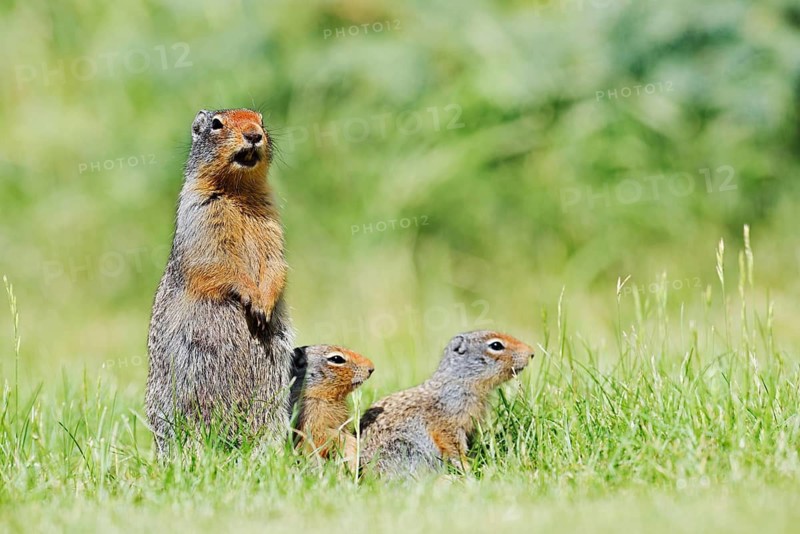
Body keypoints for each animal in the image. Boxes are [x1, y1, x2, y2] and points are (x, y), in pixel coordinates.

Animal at [146, 108, 294, 455]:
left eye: (261, 119)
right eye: (216, 124)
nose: (254, 134)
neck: (238, 191)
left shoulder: (272, 222)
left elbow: (276, 263)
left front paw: (265, 305)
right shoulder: (200, 216)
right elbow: (219, 263)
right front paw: (252, 298)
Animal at [359, 330, 534, 477]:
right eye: (496, 345)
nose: (531, 353)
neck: (460, 380)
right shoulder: (447, 421)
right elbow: (453, 445)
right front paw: (468, 467)